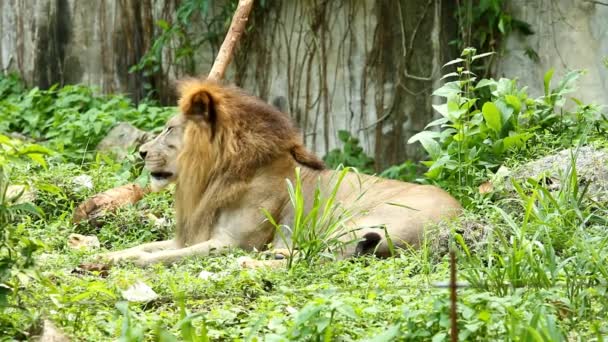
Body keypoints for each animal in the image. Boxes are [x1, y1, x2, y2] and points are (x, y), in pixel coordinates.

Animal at [102, 79, 460, 266]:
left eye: (169, 129)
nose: (141, 153)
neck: (217, 178)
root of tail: (459, 218)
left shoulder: (232, 243)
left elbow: (162, 257)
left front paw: (131, 263)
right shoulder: (194, 235)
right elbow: (148, 247)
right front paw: (110, 256)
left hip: (349, 223)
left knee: (320, 254)